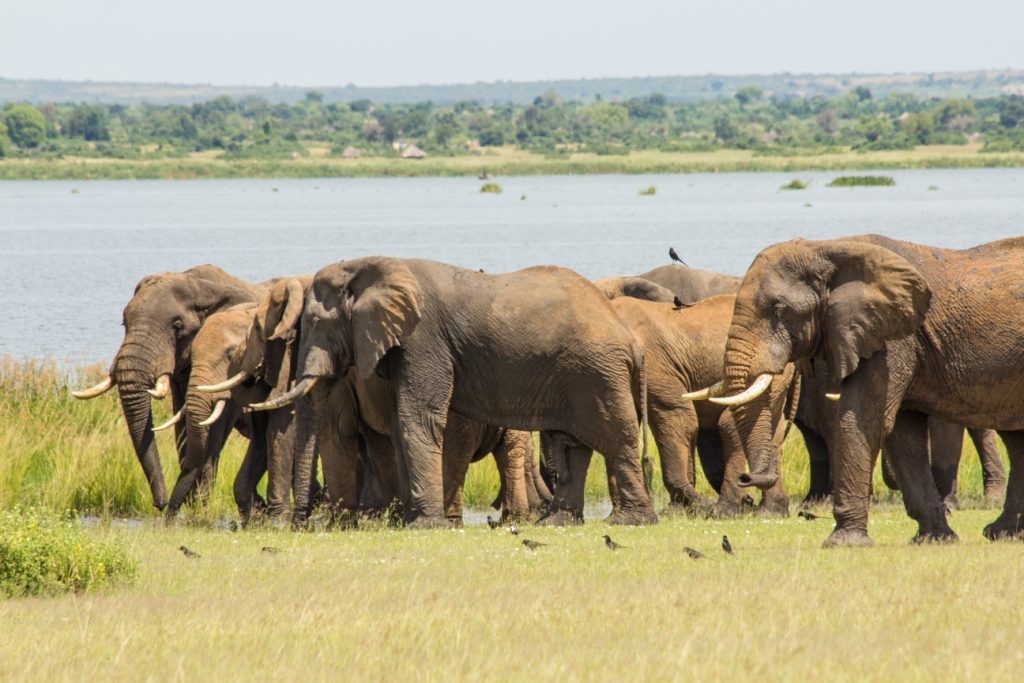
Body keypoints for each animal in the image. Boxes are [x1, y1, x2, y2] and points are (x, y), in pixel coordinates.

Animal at [71, 264, 264, 509]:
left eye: (177, 326)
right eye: (124, 323)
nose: (159, 504)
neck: (199, 284)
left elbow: (214, 429)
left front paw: (200, 508)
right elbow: (183, 427)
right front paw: (191, 504)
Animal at [256, 255, 655, 528]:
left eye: (316, 322)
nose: (302, 525)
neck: (372, 266)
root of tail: (631, 340)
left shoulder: (423, 339)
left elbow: (417, 416)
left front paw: (425, 525)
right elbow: (401, 422)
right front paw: (413, 521)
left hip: (598, 373)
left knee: (615, 438)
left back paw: (630, 522)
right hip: (578, 374)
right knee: (572, 445)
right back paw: (557, 523)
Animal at [700, 237, 1024, 548]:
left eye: (779, 309)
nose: (748, 478)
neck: (827, 249)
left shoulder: (892, 339)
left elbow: (864, 420)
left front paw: (843, 542)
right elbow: (904, 437)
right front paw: (933, 539)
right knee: (1015, 438)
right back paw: (1002, 533)